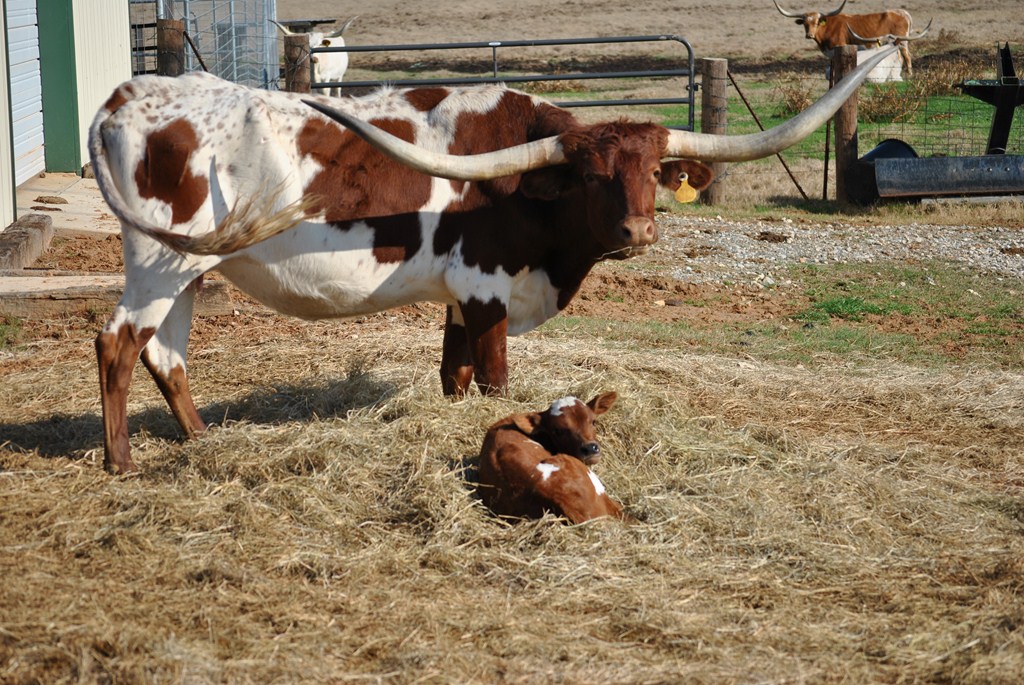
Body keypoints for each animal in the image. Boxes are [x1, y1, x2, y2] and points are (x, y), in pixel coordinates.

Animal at [88, 48, 895, 474]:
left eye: (652, 170)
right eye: (593, 174)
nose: (638, 230)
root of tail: (131, 92)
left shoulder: (457, 299)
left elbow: (454, 377)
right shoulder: (486, 292)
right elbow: (495, 382)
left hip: (188, 271)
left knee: (166, 354)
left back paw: (200, 441)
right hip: (157, 261)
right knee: (117, 343)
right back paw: (121, 462)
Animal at [773, 0, 929, 76]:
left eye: (817, 22)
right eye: (805, 24)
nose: (809, 35)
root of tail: (902, 12)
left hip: (902, 41)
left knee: (906, 56)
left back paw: (909, 73)